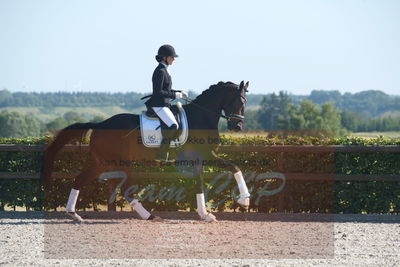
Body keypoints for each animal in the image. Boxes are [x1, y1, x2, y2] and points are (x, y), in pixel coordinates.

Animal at [43, 80, 250, 223]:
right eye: (238, 102)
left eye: (245, 103)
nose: (237, 127)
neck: (201, 117)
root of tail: (100, 124)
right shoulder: (200, 158)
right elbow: (203, 182)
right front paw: (208, 213)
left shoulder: (207, 157)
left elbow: (234, 168)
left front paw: (242, 201)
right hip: (119, 163)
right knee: (125, 190)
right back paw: (149, 216)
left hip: (103, 163)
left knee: (80, 180)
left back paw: (74, 215)